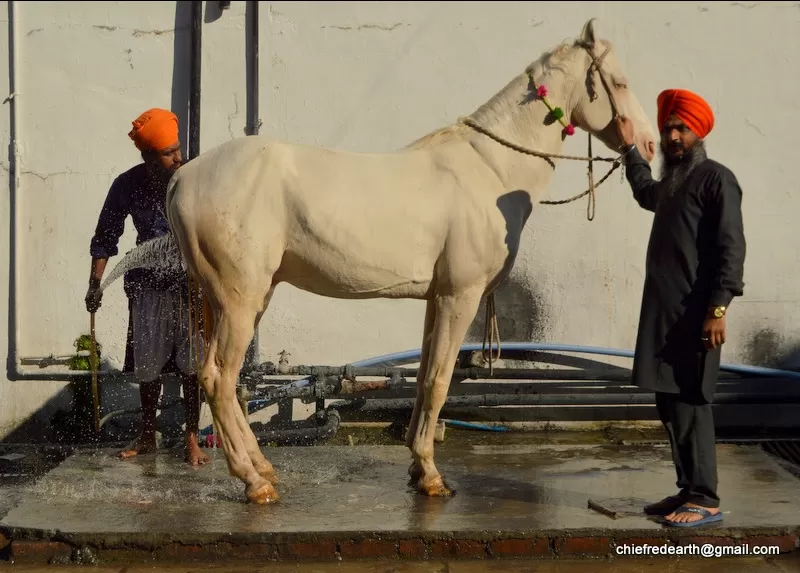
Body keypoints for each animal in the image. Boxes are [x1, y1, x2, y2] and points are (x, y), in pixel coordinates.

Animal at [162, 17, 656, 502]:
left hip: (233, 300)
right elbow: (439, 379)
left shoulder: (436, 299)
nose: (649, 145)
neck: (490, 170)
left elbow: (423, 378)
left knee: (226, 384)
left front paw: (419, 469)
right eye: (619, 82)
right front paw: (432, 476)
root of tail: (184, 176)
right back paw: (255, 481)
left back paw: (263, 467)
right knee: (219, 378)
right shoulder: (461, 296)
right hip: (239, 301)